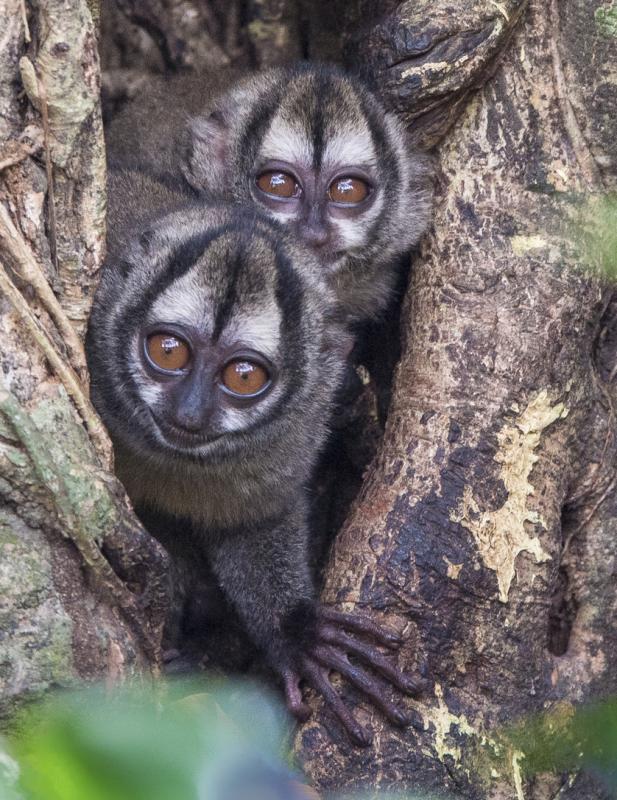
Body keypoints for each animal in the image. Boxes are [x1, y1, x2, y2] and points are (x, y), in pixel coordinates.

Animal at [86, 165, 424, 746]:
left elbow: (253, 523)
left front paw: (299, 635)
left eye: (243, 376)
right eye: (168, 351)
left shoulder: (295, 430)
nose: (190, 413)